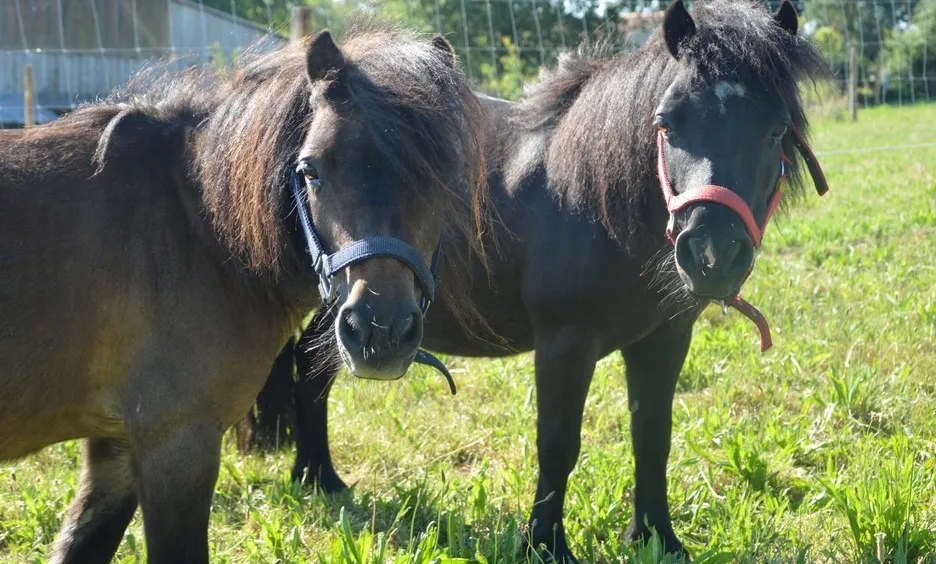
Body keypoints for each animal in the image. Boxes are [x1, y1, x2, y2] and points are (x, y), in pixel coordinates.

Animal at [0, 18, 482, 564]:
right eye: (311, 169)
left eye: (444, 178)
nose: (380, 331)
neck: (201, 228)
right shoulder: (177, 443)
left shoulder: (117, 444)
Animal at [252, 2, 828, 560]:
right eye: (667, 123)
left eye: (776, 130)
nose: (711, 253)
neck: (592, 197)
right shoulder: (563, 345)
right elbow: (557, 446)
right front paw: (545, 545)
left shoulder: (664, 340)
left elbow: (652, 439)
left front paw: (658, 538)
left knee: (311, 369)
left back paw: (318, 479)